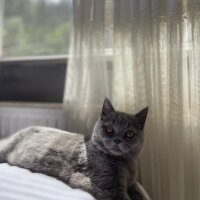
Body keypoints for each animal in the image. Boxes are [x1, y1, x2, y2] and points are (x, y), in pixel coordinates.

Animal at [0, 99, 151, 200]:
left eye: (130, 134)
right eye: (109, 129)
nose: (117, 140)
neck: (126, 165)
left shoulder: (133, 184)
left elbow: (143, 194)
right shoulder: (110, 187)